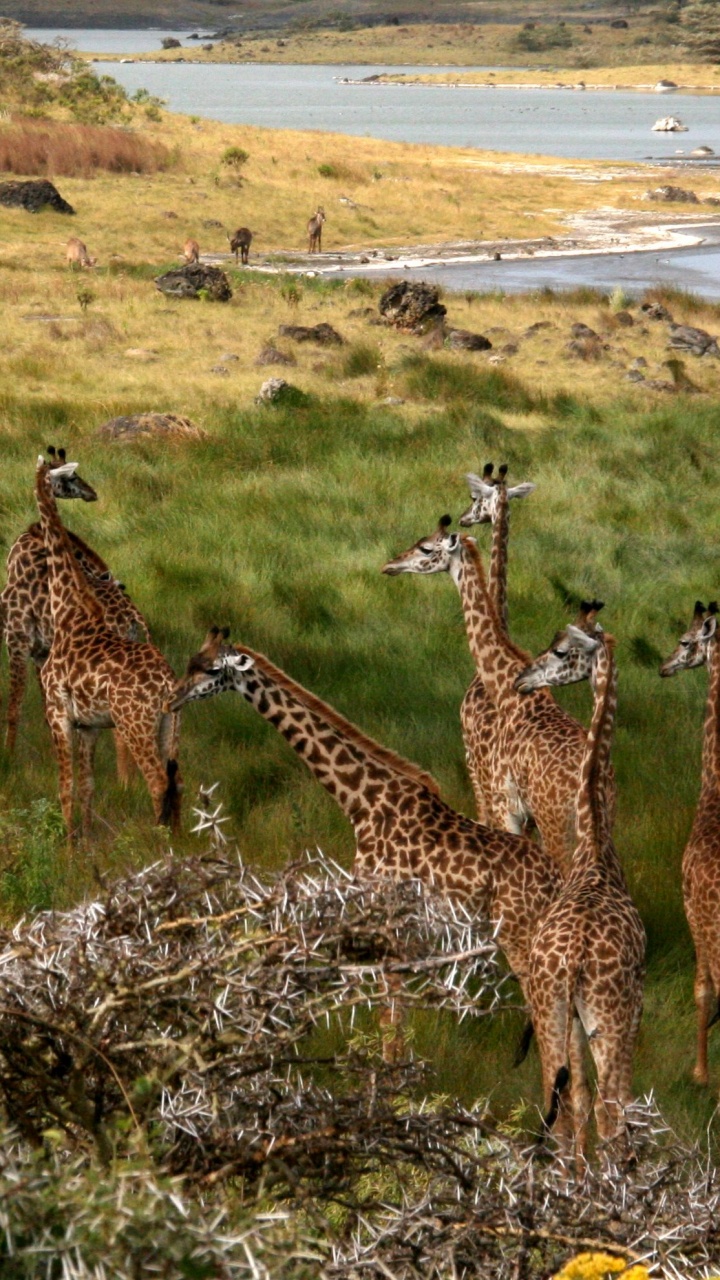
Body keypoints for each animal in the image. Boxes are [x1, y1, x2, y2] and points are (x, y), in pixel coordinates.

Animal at [33, 452, 181, 840]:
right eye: (72, 479)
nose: (91, 494)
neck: (67, 608)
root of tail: (167, 684)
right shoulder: (89, 725)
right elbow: (87, 786)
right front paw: (84, 842)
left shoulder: (57, 712)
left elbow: (65, 786)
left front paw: (68, 846)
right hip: (170, 725)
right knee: (179, 782)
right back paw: (182, 842)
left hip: (135, 724)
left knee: (158, 782)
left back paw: (159, 843)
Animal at [169, 628, 563, 1010]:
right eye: (190, 661)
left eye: (212, 670)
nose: (172, 699)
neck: (360, 801)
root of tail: (557, 881)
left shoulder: (385, 915)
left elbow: (391, 1016)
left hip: (517, 934)